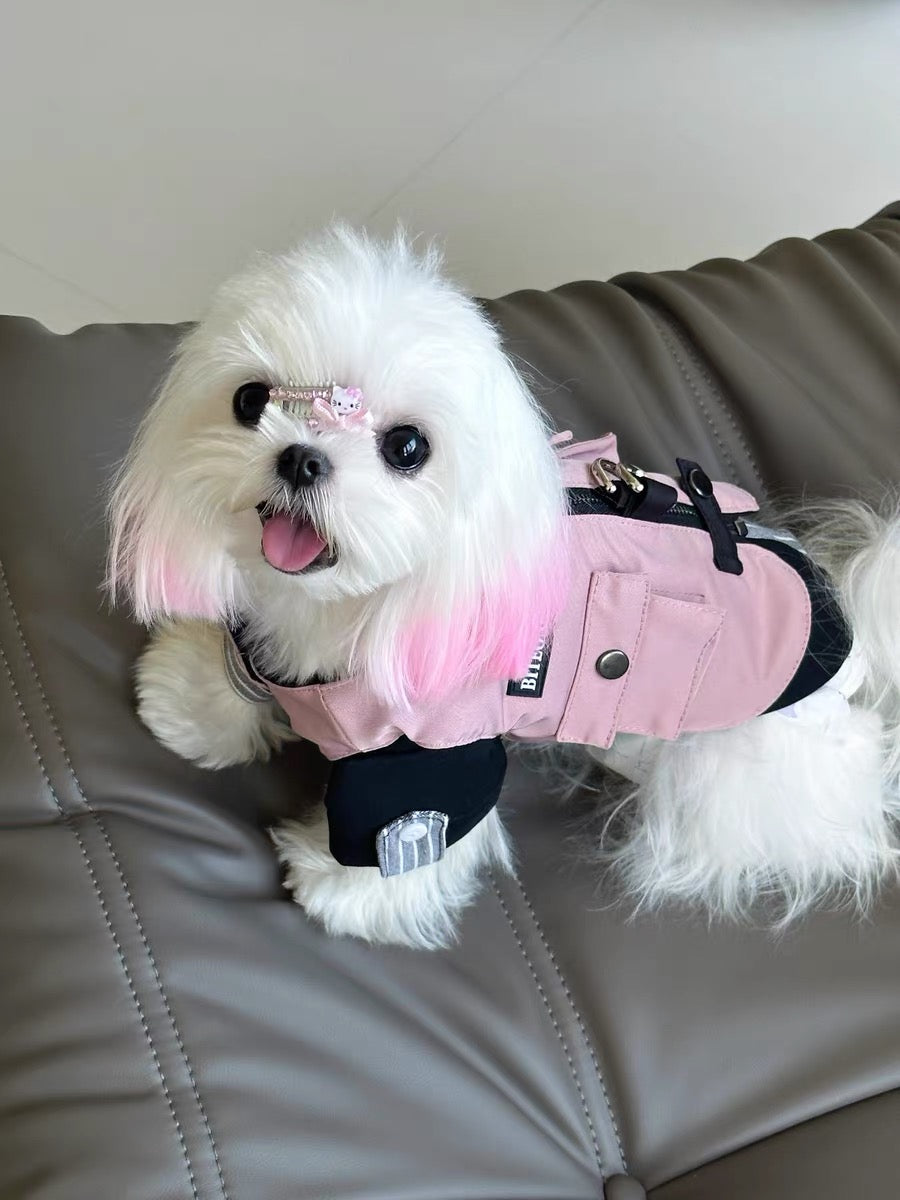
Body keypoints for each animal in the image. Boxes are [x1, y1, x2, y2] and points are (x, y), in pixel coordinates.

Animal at [111, 229, 900, 950]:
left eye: (406, 447)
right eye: (250, 399)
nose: (301, 459)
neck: (334, 608)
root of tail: (850, 643)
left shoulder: (432, 749)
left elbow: (408, 826)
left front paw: (346, 894)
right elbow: (233, 675)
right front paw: (187, 707)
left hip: (727, 764)